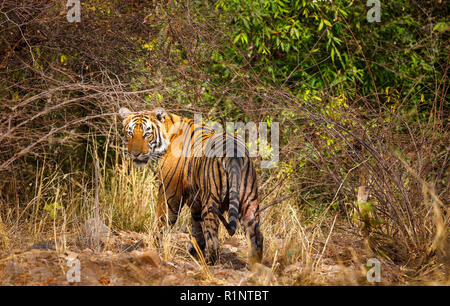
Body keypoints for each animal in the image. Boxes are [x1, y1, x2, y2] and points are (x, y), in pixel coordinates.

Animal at [118, 107, 264, 266]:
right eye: (130, 133)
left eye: (147, 134)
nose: (135, 154)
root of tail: (234, 153)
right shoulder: (195, 201)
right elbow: (196, 228)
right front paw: (194, 250)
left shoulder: (170, 193)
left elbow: (162, 221)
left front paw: (155, 247)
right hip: (249, 201)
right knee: (257, 236)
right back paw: (254, 265)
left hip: (211, 201)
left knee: (213, 238)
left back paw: (210, 262)